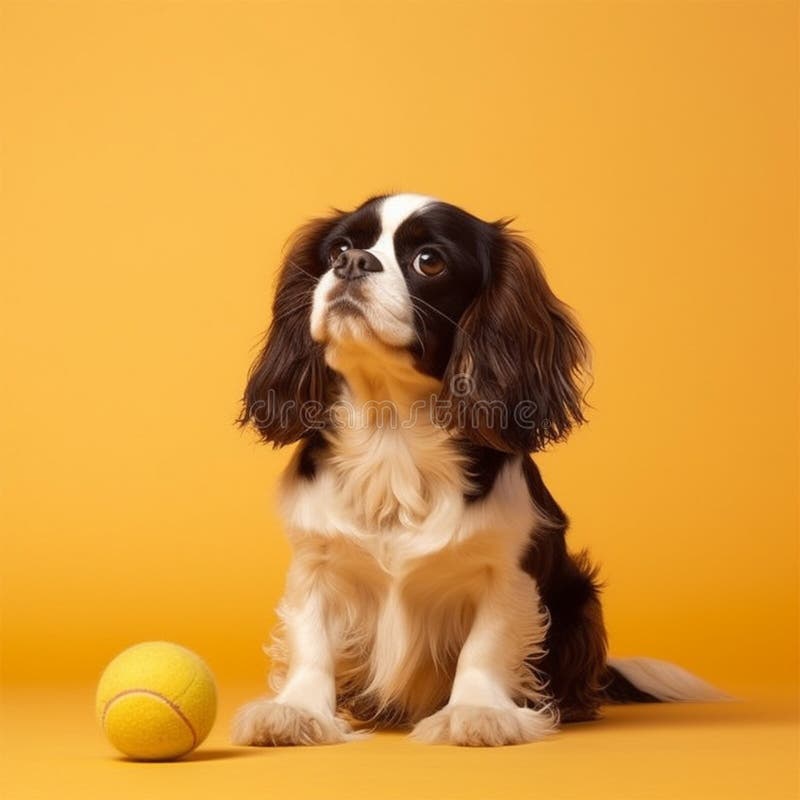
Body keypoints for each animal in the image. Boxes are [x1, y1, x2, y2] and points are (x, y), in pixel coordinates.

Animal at [231, 191, 724, 748]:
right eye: (338, 247)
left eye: (429, 261)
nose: (353, 262)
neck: (391, 429)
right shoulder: (316, 563)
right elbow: (311, 643)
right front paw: (297, 711)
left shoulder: (506, 572)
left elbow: (486, 646)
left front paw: (477, 711)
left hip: (579, 599)